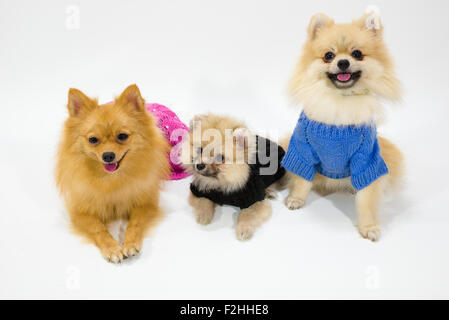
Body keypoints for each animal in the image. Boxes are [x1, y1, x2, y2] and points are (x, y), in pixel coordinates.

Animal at [55, 85, 169, 262]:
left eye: (122, 136)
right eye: (93, 140)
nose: (108, 155)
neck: (111, 179)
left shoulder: (147, 203)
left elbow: (135, 223)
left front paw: (130, 243)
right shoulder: (80, 213)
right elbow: (98, 229)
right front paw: (112, 248)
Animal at [282, 8, 404, 241]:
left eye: (357, 54)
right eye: (329, 56)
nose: (343, 63)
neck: (341, 100)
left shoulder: (366, 159)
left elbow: (367, 198)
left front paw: (368, 226)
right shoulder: (304, 150)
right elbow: (302, 180)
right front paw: (296, 199)